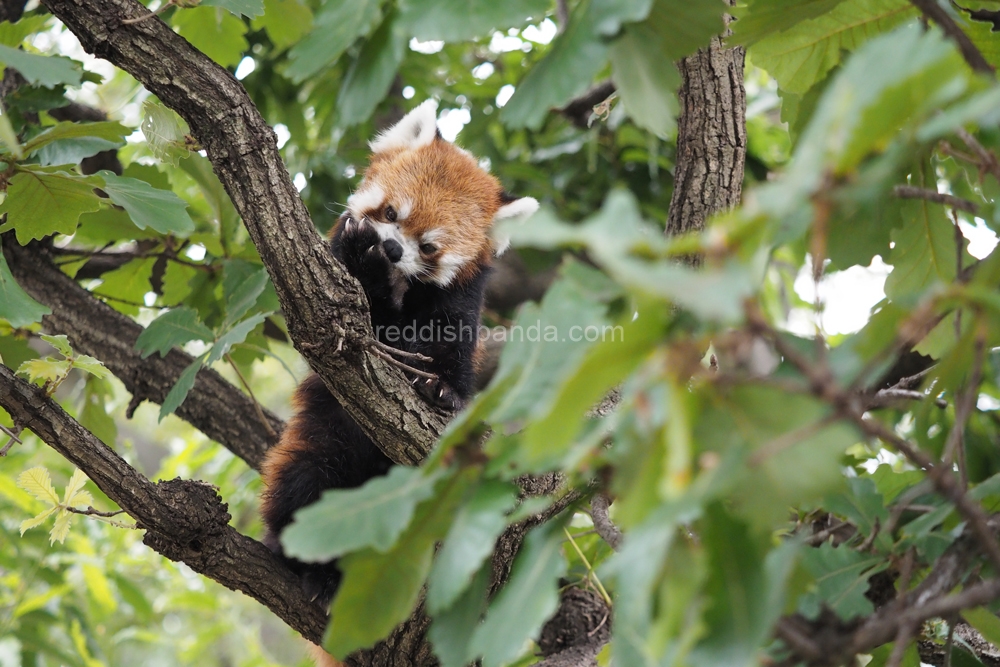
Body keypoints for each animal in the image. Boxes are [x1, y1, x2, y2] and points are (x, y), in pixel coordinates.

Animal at [260, 100, 540, 612]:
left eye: (428, 246)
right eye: (390, 212)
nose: (391, 247)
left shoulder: (460, 301)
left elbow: (445, 348)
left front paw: (441, 389)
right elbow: (365, 321)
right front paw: (363, 256)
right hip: (323, 440)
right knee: (304, 482)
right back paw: (310, 569)